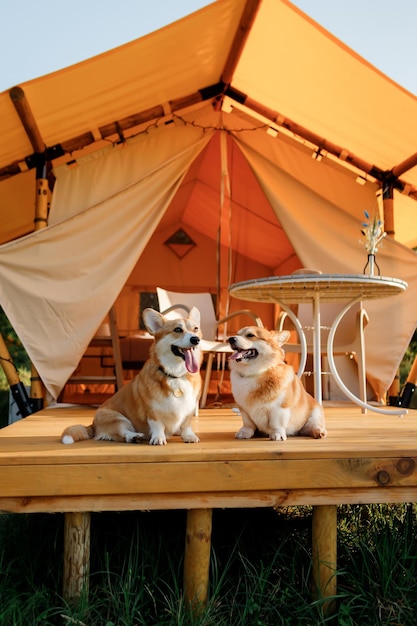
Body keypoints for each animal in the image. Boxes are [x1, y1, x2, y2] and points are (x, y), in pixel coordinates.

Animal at [61, 306, 203, 444]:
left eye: (195, 329)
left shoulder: (189, 408)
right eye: (177, 329)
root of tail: (93, 425)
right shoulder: (152, 411)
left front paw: (189, 436)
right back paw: (135, 436)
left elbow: (186, 424)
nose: (196, 339)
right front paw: (158, 438)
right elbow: (157, 425)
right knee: (123, 433)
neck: (176, 375)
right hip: (117, 419)